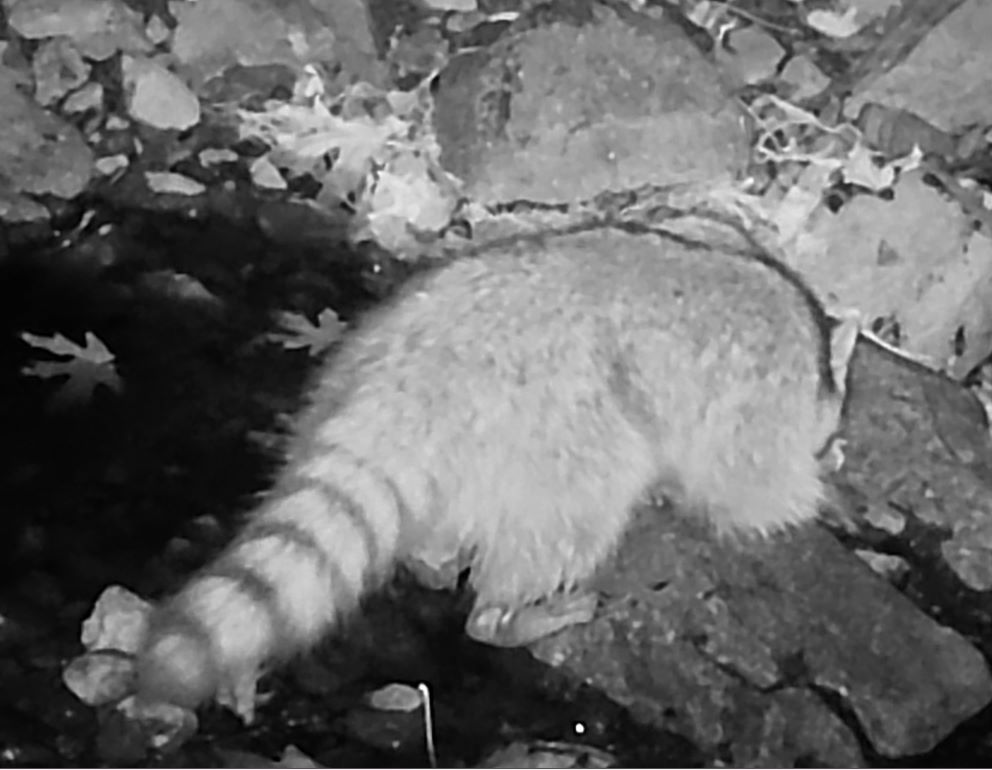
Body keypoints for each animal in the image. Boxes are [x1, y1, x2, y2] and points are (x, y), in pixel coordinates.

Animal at [135, 227, 857, 709]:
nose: (831, 445)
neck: (814, 357)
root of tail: (405, 386)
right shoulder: (756, 412)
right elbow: (750, 493)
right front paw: (821, 493)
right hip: (557, 437)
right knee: (568, 523)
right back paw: (506, 615)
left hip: (351, 386)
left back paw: (435, 558)